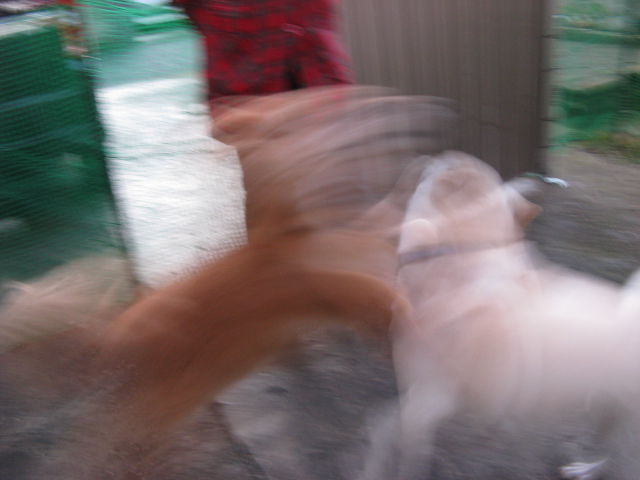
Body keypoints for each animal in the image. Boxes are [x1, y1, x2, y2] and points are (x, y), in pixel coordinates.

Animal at [392, 151, 640, 480]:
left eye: (441, 163)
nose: (434, 154)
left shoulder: (431, 396)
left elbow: (406, 444)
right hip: (606, 408)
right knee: (612, 449)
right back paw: (585, 469)